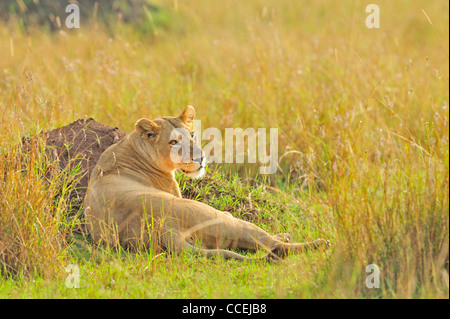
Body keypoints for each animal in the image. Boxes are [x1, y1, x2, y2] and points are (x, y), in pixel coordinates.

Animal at [85, 106, 330, 262]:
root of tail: (163, 232)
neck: (133, 147)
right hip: (210, 216)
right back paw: (316, 243)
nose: (200, 157)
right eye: (173, 142)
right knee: (272, 246)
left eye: (192, 134)